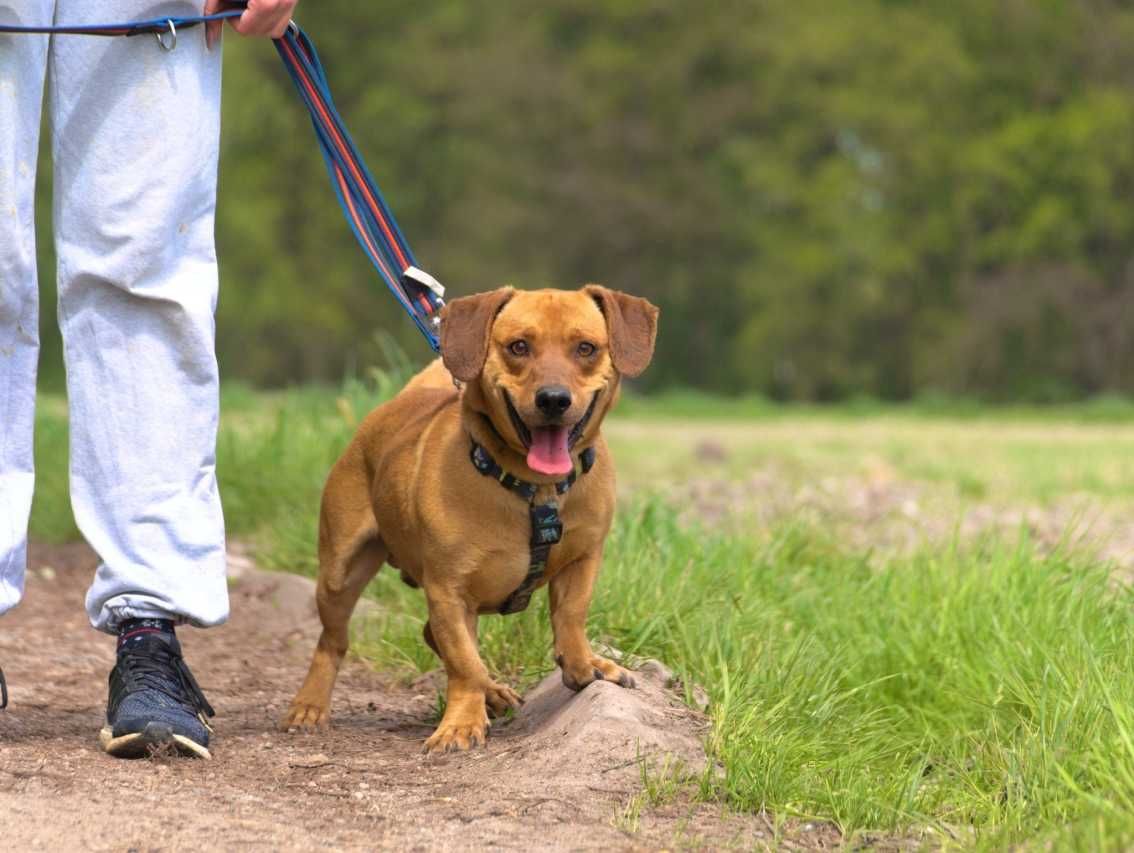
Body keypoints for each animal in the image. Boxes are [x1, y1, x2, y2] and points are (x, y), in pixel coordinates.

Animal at [277, 286, 662, 753]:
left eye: (586, 348)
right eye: (519, 346)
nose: (553, 399)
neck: (535, 489)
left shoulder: (582, 559)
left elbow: (571, 617)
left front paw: (583, 665)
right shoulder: (449, 590)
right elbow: (463, 662)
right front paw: (460, 723)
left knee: (432, 636)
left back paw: (493, 692)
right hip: (339, 572)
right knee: (333, 642)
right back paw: (310, 704)